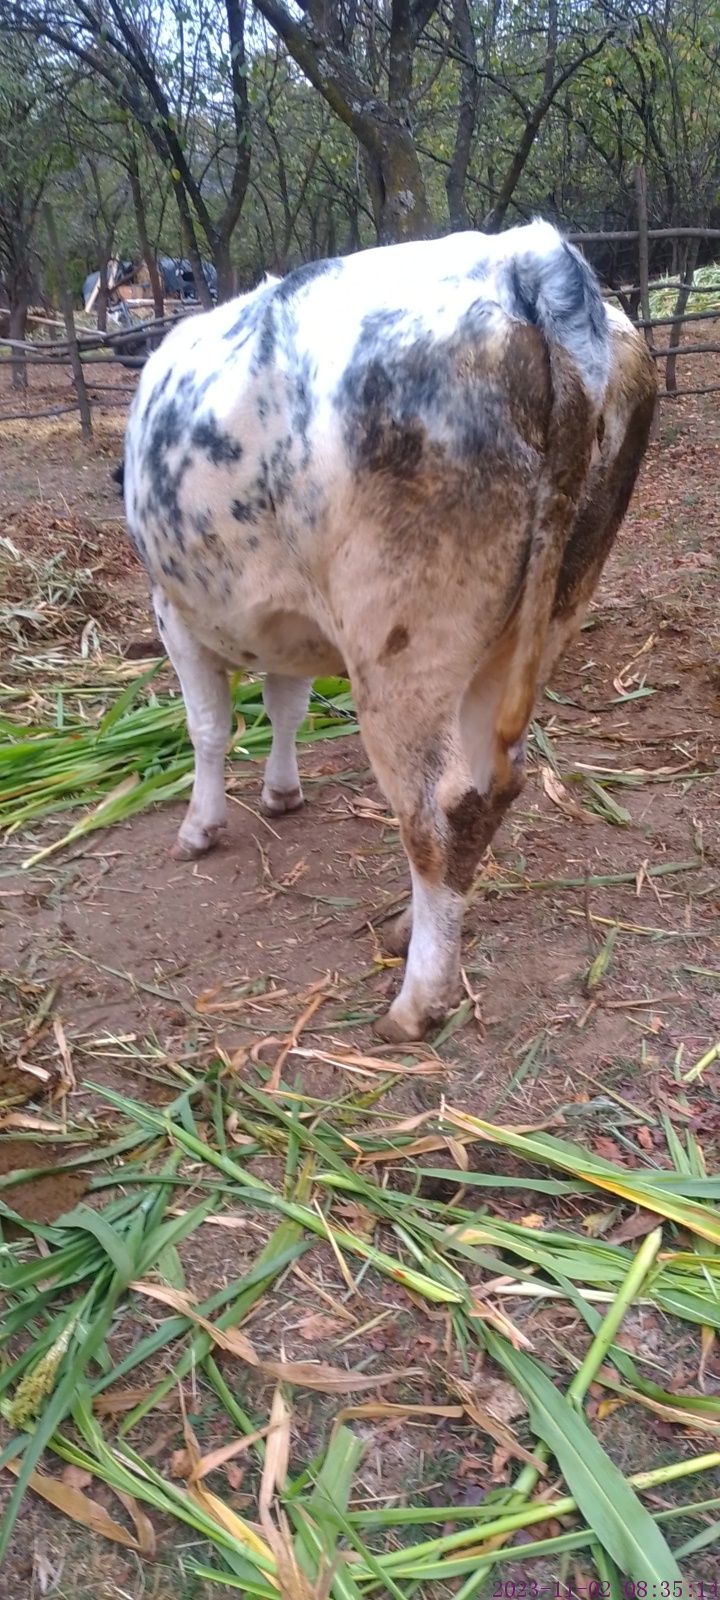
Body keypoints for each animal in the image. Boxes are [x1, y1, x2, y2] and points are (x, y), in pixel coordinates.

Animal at [120, 228, 656, 1049]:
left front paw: (201, 827)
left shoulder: (172, 611)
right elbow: (285, 707)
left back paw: (418, 999)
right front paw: (282, 791)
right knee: (484, 792)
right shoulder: (291, 627)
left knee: (437, 816)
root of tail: (527, 255)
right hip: (538, 619)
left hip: (400, 653)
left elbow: (208, 728)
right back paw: (416, 929)